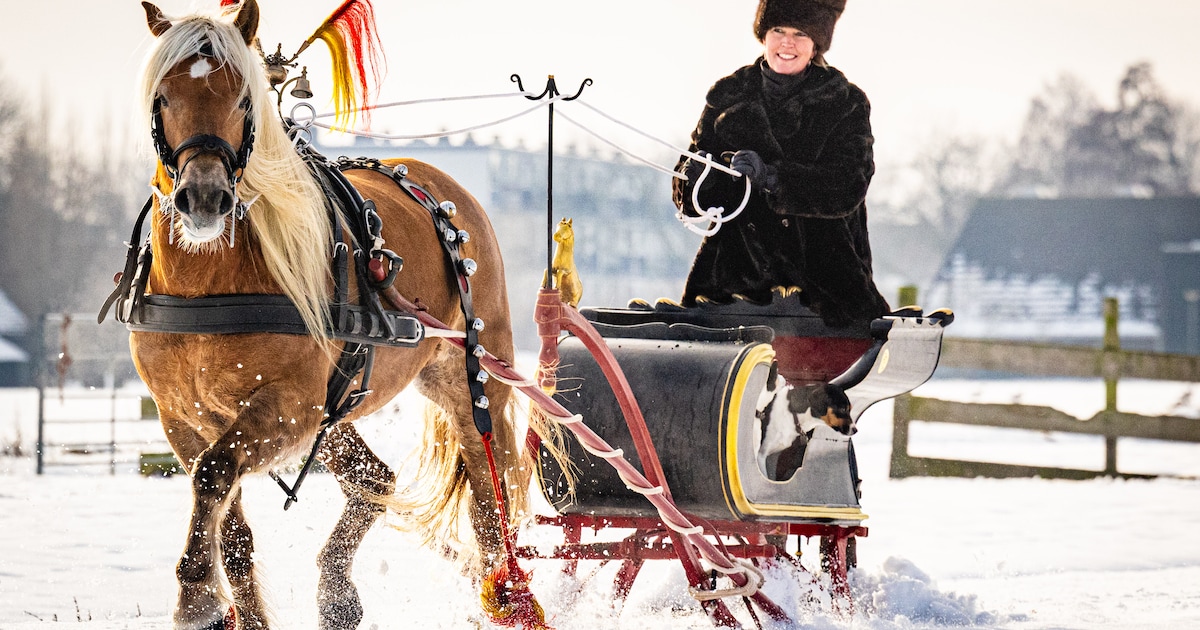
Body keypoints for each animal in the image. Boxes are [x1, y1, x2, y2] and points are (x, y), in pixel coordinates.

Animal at [125, 1, 543, 628]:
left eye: (243, 99)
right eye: (164, 96)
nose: (204, 199)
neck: (210, 284)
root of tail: (442, 188)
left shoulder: (290, 405)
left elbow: (214, 474)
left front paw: (195, 595)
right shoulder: (184, 416)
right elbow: (231, 526)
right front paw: (226, 606)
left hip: (469, 377)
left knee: (490, 502)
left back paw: (506, 591)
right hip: (339, 404)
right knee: (377, 478)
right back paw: (337, 589)